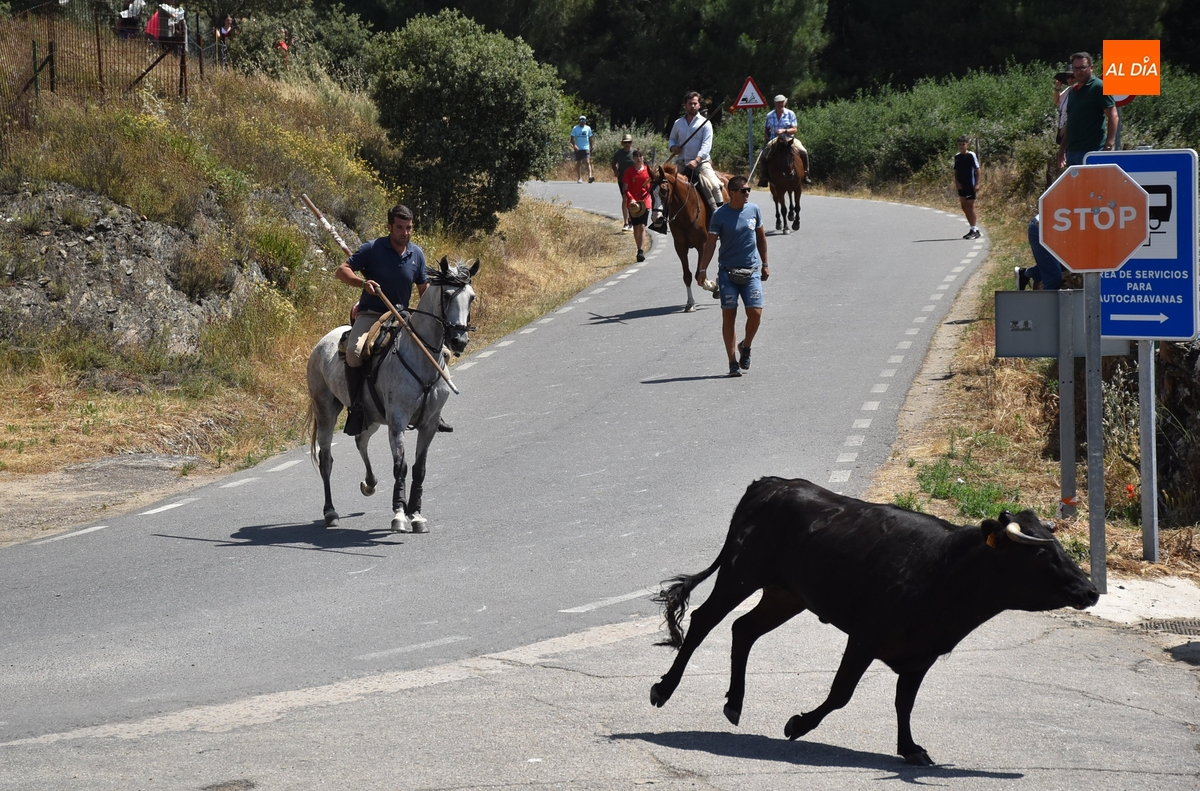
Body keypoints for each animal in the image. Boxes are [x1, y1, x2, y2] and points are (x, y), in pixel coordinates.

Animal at [305, 256, 478, 534]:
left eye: (471, 297)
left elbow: (419, 469)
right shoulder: (397, 422)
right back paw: (330, 512)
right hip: (326, 411)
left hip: (372, 417)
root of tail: (322, 342)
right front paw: (399, 514)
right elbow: (401, 466)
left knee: (360, 440)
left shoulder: (429, 424)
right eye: (447, 295)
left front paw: (416, 515)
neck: (421, 357)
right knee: (326, 459)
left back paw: (370, 483)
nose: (459, 340)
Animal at [650, 476, 1099, 766]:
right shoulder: (865, 637)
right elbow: (841, 693)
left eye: (1059, 546)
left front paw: (911, 748)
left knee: (743, 629)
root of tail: (770, 483)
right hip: (740, 573)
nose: (1091, 590)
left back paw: (734, 703)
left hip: (785, 594)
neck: (944, 570)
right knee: (704, 622)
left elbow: (904, 702)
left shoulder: (921, 655)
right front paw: (798, 724)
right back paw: (663, 689)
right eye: (1040, 553)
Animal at [652, 163, 728, 312]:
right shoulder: (680, 247)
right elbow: (687, 276)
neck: (686, 210)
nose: (656, 218)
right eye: (650, 192)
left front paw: (712, 286)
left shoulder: (702, 245)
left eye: (664, 191)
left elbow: (699, 274)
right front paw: (690, 302)